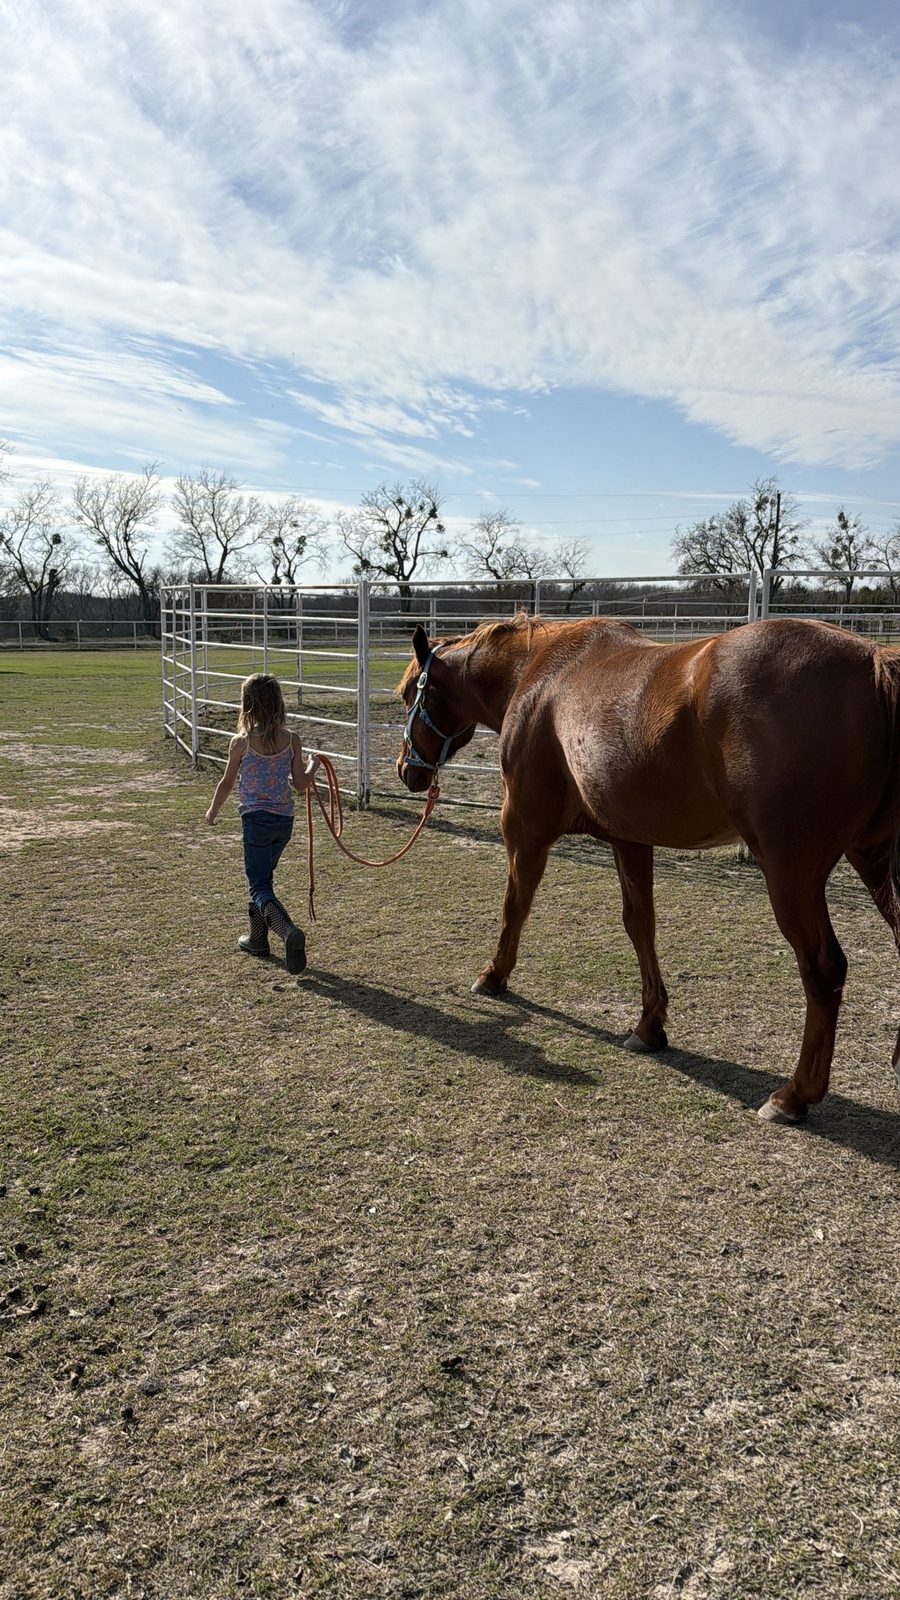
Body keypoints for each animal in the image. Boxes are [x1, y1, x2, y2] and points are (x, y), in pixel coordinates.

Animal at [396, 613, 900, 1124]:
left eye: (407, 696)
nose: (406, 769)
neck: (539, 678)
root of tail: (872, 659)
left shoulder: (525, 832)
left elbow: (514, 907)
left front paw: (493, 976)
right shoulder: (631, 841)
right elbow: (640, 925)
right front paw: (649, 1025)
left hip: (792, 873)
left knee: (823, 968)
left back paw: (792, 1096)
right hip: (874, 858)